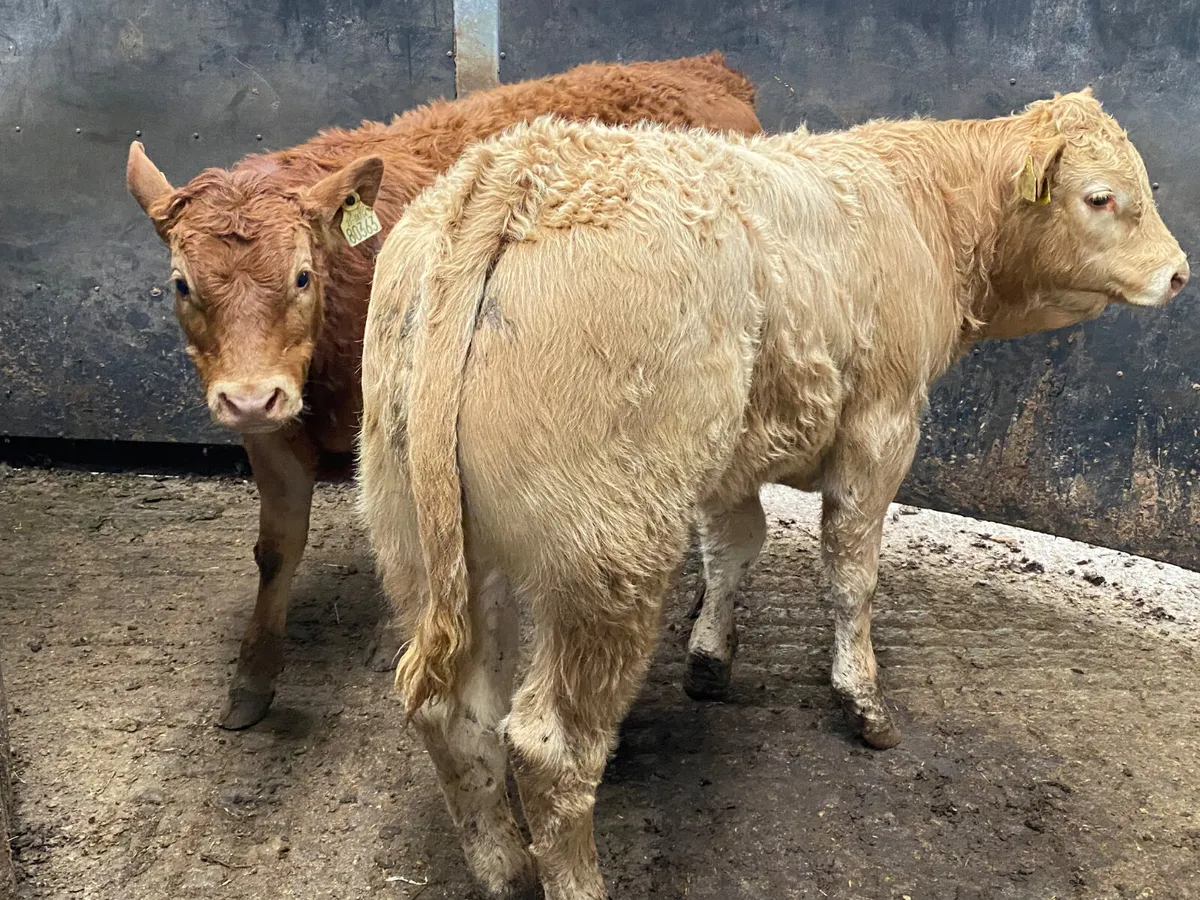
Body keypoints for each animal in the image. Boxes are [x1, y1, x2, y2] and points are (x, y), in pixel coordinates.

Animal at [124, 52, 763, 730]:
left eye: (301, 275)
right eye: (182, 285)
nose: (249, 398)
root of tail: (700, 68)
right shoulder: (272, 434)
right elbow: (275, 549)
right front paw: (252, 677)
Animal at [357, 90, 1188, 899]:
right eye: (1101, 196)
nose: (1179, 272)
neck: (919, 206)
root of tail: (517, 169)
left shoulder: (731, 457)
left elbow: (735, 546)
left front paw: (709, 657)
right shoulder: (882, 425)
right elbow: (850, 571)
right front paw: (862, 699)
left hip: (421, 541)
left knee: (454, 711)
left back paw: (501, 868)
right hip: (607, 561)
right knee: (549, 746)